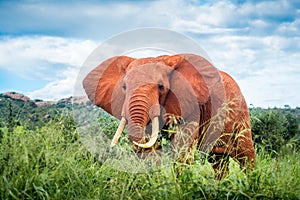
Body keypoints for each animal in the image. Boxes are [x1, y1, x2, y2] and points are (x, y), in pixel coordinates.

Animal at [82, 53, 255, 178]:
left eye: (161, 87)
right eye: (124, 87)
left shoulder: (191, 105)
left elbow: (181, 148)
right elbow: (151, 148)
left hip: (240, 112)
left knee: (246, 155)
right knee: (219, 161)